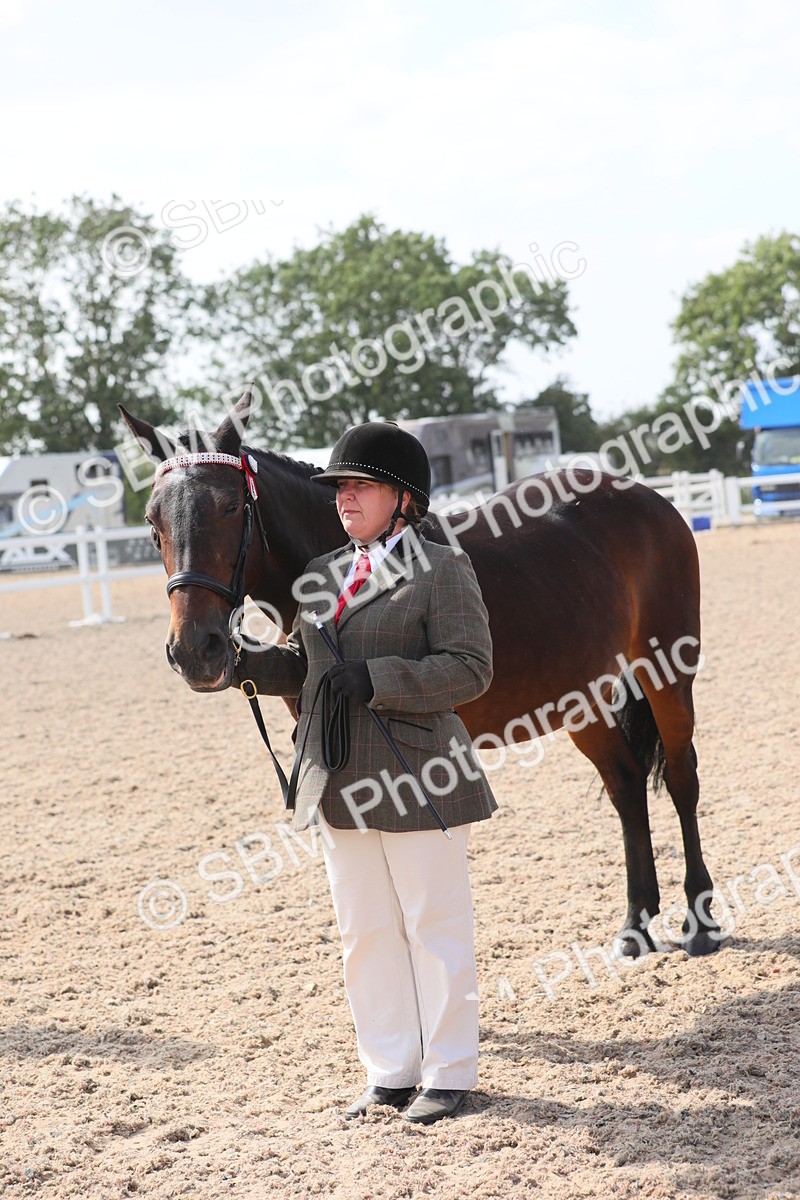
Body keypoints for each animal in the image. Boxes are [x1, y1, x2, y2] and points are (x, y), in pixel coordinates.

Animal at [119, 390, 720, 959]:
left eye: (228, 506)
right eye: (152, 519)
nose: (195, 650)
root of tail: (646, 497)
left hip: (667, 674)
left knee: (682, 779)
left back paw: (700, 923)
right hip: (580, 699)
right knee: (626, 786)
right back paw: (635, 927)